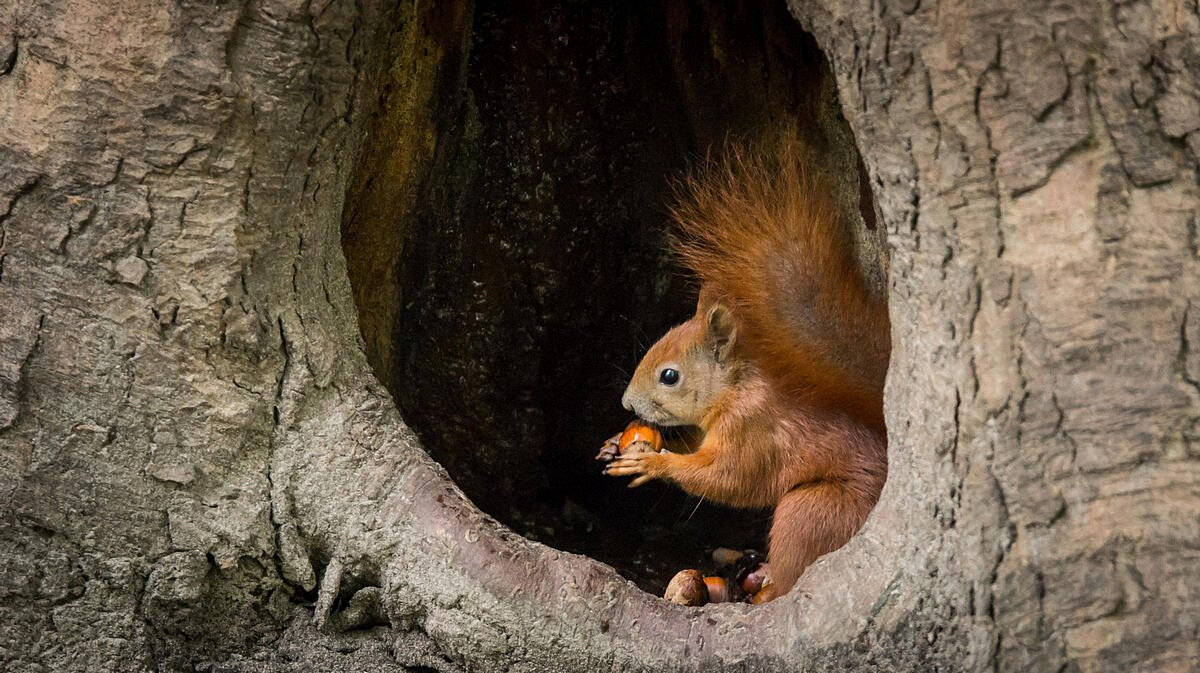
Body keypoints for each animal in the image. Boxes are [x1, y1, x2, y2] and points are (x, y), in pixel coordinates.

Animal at [600, 136, 892, 604]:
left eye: (670, 376)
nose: (627, 403)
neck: (734, 391)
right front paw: (615, 442)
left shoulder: (753, 429)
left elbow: (726, 479)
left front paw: (653, 465)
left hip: (811, 511)